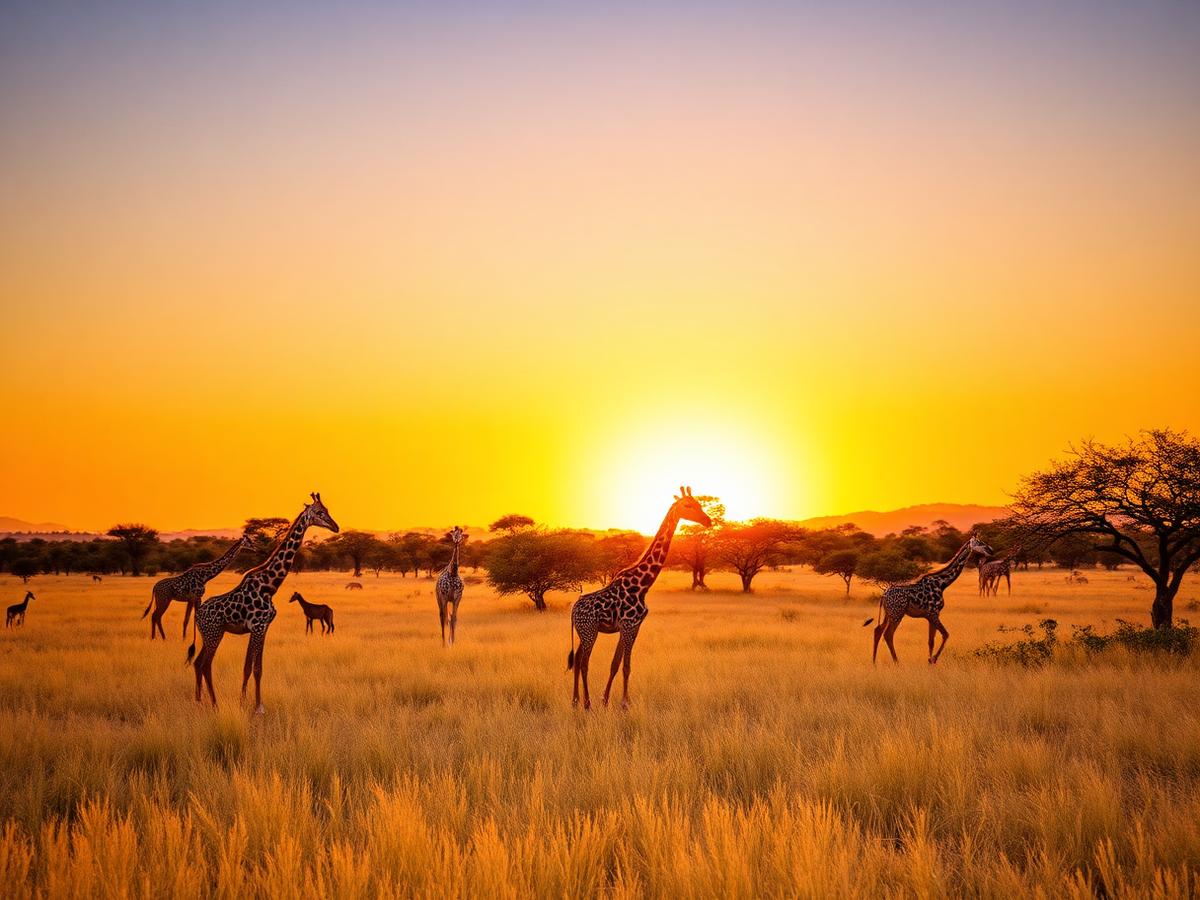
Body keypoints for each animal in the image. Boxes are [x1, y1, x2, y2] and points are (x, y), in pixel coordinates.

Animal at [186, 493, 339, 714]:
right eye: (319, 512)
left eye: (327, 510)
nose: (336, 527)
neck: (269, 586)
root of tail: (197, 615)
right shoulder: (257, 627)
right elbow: (251, 667)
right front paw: (251, 706)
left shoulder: (263, 628)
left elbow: (255, 668)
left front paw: (253, 703)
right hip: (214, 634)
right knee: (206, 665)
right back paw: (214, 704)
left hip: (211, 634)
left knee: (198, 663)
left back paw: (199, 701)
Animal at [567, 487, 711, 709]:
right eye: (688, 505)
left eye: (698, 503)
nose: (708, 520)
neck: (642, 585)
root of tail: (573, 610)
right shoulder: (630, 625)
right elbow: (626, 666)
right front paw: (624, 704)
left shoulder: (629, 627)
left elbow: (615, 664)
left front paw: (606, 701)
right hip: (590, 631)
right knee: (583, 663)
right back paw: (587, 704)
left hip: (584, 632)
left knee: (577, 659)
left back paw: (575, 701)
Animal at [864, 533, 993, 665]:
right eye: (980, 543)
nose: (991, 551)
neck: (942, 583)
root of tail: (883, 596)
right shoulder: (933, 613)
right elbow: (945, 635)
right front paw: (933, 659)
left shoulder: (930, 615)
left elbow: (931, 640)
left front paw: (930, 661)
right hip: (897, 614)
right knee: (888, 634)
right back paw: (896, 662)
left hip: (889, 613)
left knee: (878, 630)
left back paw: (874, 662)